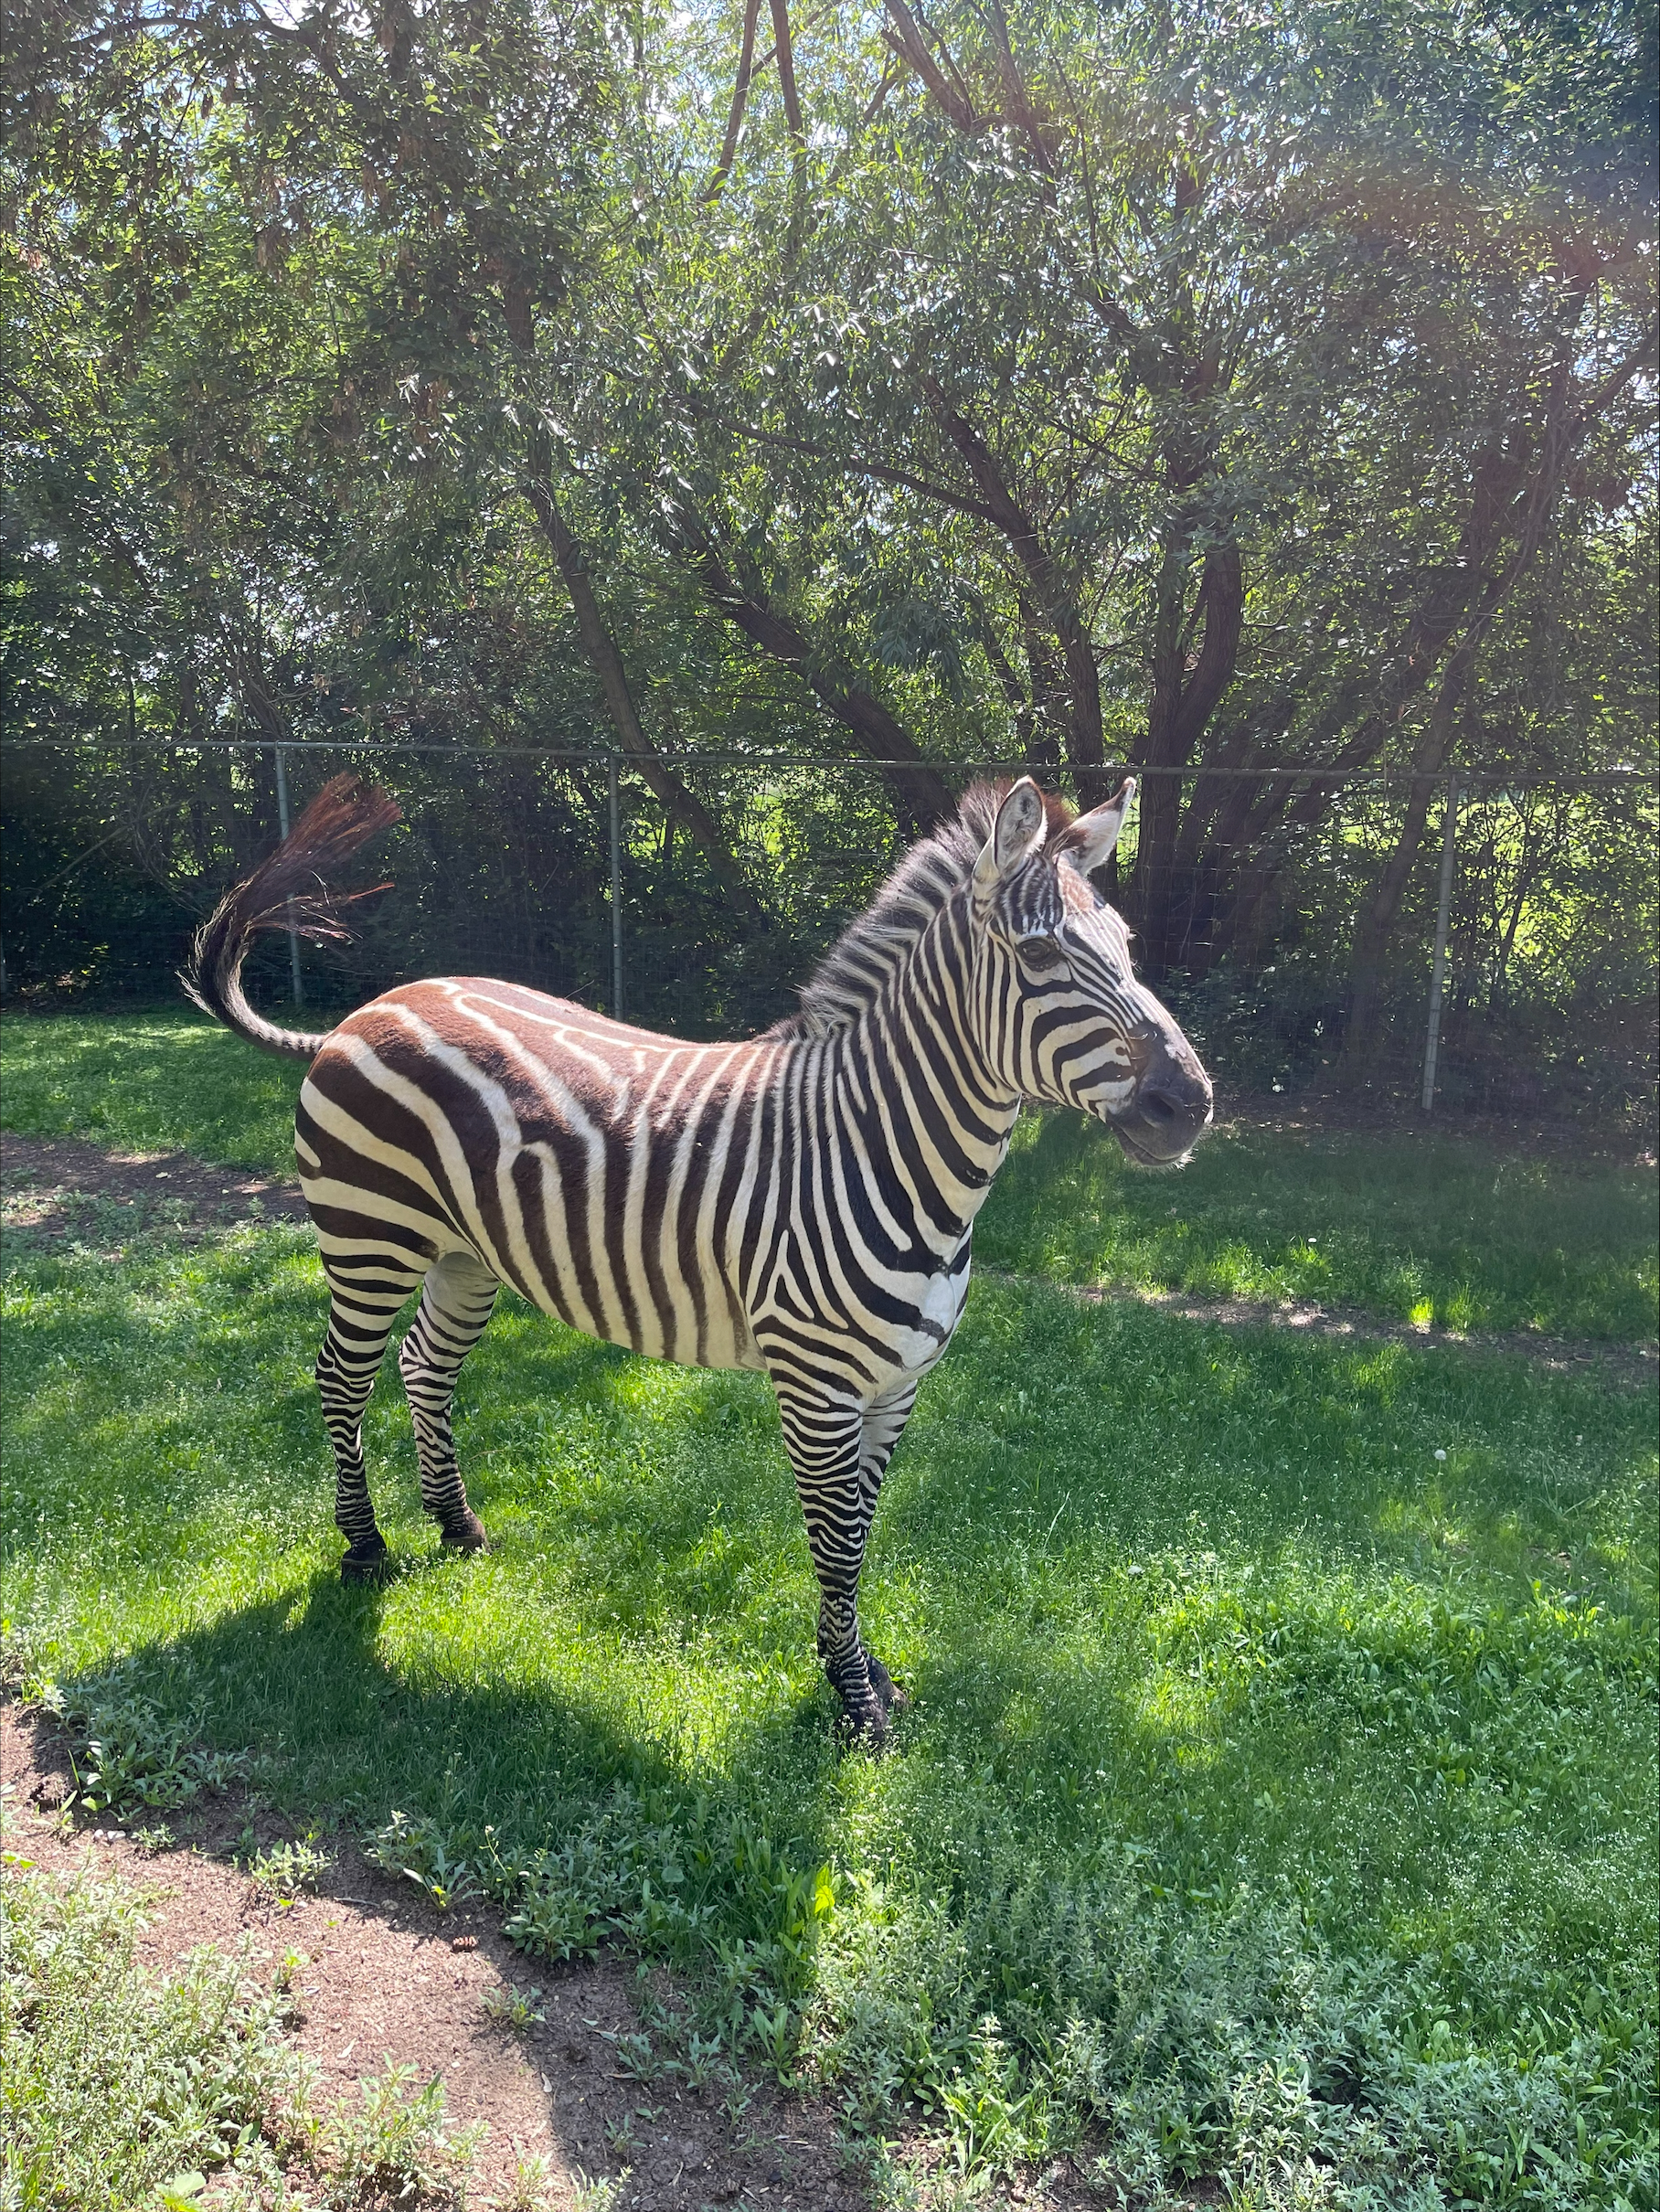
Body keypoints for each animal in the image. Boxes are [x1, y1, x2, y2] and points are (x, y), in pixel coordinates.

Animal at [183, 772, 1212, 1737]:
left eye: (1126, 948)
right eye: (1039, 954)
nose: (1190, 1105)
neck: (883, 1147)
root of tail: (365, 1012)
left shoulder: (897, 1386)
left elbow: (863, 1530)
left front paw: (862, 1672)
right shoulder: (817, 1385)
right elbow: (839, 1540)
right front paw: (854, 1703)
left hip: (464, 1254)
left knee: (423, 1366)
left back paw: (458, 1526)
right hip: (370, 1237)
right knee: (340, 1376)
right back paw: (365, 1549)